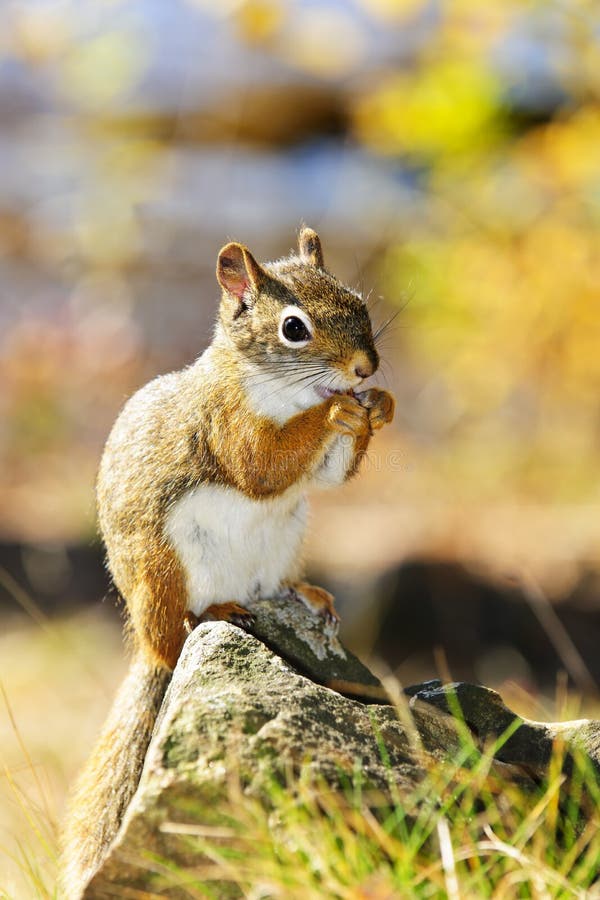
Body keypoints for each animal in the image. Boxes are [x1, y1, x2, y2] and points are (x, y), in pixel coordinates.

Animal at [60, 227, 395, 897]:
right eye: (293, 328)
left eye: (358, 303)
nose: (365, 369)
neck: (282, 389)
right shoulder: (224, 422)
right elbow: (262, 464)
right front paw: (336, 412)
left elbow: (329, 472)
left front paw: (378, 405)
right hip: (166, 565)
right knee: (175, 631)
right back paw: (211, 615)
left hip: (286, 539)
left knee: (275, 583)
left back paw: (303, 594)